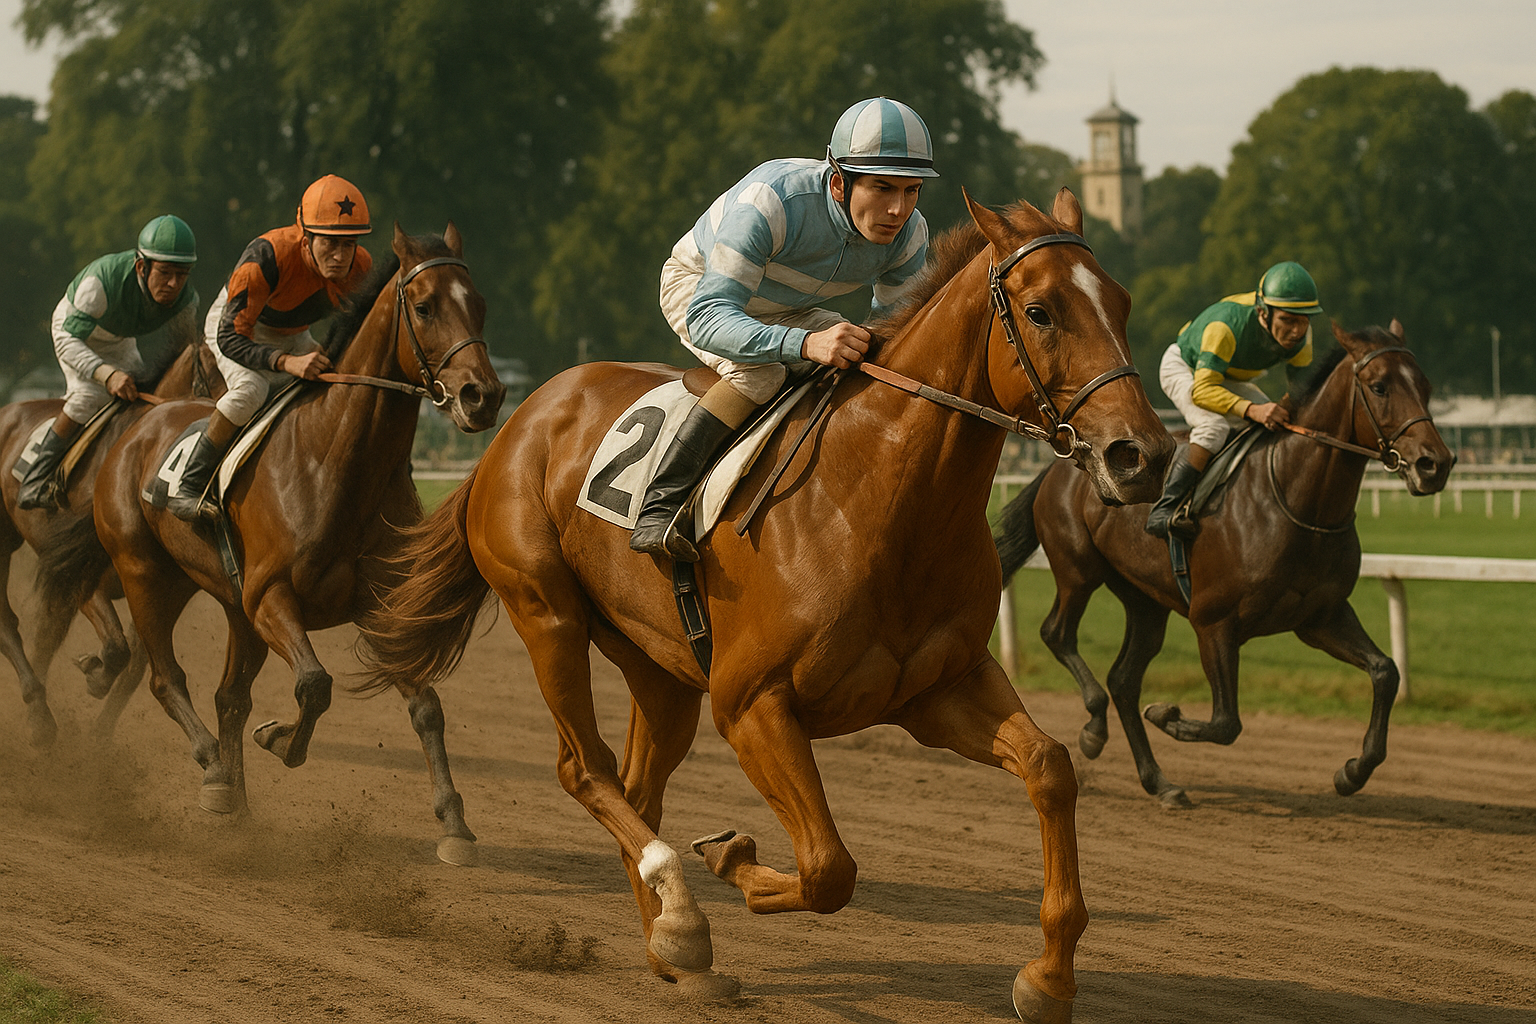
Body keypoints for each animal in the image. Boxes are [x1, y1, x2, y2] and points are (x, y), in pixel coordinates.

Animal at [1, 331, 220, 748]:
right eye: (213, 372)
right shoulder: (87, 579)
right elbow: (118, 650)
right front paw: (93, 674)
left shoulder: (149, 587)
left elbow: (134, 665)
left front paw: (98, 738)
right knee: (11, 622)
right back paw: (39, 715)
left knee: (45, 635)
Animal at [85, 224, 504, 863]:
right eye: (425, 306)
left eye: (478, 304)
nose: (483, 396)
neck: (336, 462)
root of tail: (137, 426)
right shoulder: (271, 596)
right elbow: (315, 684)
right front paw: (281, 741)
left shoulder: (374, 604)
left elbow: (426, 708)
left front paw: (455, 825)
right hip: (144, 572)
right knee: (163, 677)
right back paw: (213, 771)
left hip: (217, 596)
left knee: (228, 697)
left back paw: (233, 801)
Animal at [355, 189, 1173, 1021]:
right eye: (1040, 312)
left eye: (1121, 302)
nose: (1143, 454)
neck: (878, 496)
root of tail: (518, 419)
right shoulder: (752, 703)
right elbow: (828, 868)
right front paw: (729, 857)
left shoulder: (938, 689)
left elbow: (1049, 765)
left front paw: (1049, 978)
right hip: (546, 612)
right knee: (585, 770)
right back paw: (682, 926)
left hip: (660, 666)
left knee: (637, 788)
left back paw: (672, 949)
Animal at [993, 321, 1453, 809]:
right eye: (1380, 386)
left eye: (1426, 386)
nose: (1435, 464)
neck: (1297, 499)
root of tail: (1062, 462)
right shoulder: (1212, 621)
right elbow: (1226, 722)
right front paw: (1168, 714)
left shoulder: (1321, 616)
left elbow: (1386, 672)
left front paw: (1353, 771)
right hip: (1078, 569)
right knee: (1058, 635)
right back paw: (1095, 728)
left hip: (1144, 599)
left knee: (1123, 680)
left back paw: (1159, 782)